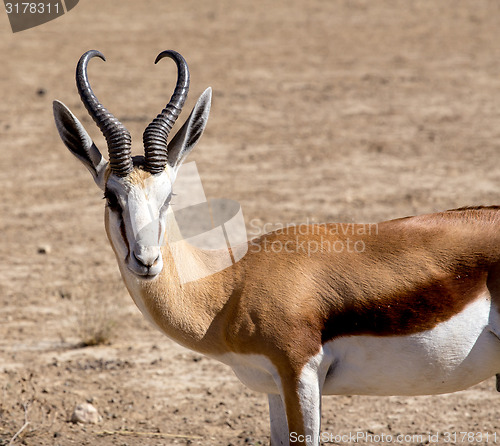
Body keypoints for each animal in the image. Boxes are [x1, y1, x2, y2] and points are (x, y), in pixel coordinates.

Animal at [53, 48, 500, 446]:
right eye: (110, 196)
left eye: (169, 195)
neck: (230, 286)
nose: (146, 260)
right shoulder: (272, 388)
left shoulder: (299, 374)